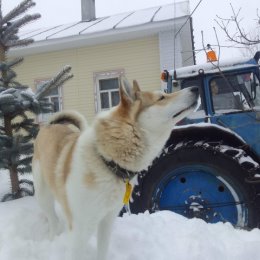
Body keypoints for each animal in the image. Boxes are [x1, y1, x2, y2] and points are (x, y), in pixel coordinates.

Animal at [33, 79, 199, 260]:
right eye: (161, 98)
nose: (195, 88)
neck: (106, 160)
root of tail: (50, 125)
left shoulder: (107, 221)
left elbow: (102, 251)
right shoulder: (80, 231)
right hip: (43, 197)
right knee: (53, 220)